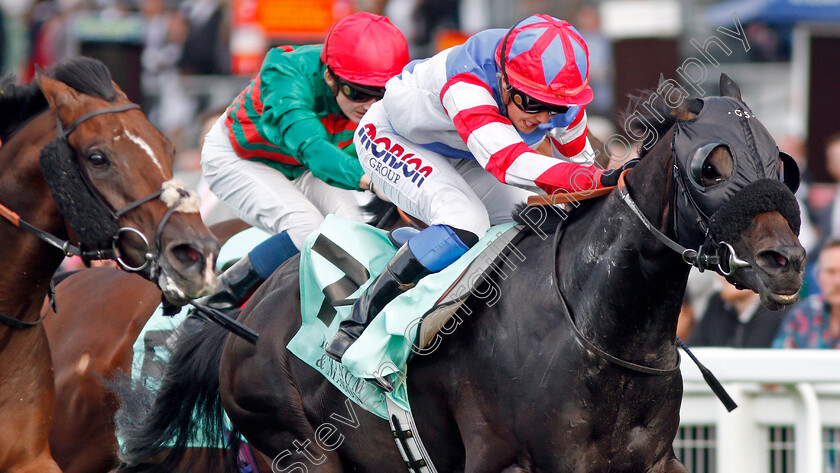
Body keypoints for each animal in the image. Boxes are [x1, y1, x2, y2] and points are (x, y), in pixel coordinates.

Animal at [118, 74, 808, 472]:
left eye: (783, 163)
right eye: (710, 167)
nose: (786, 262)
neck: (601, 332)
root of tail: (251, 309)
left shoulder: (652, 463)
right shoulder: (506, 464)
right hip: (296, 445)